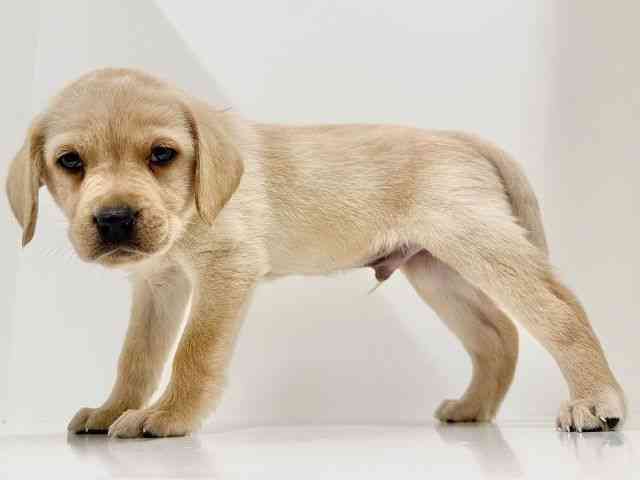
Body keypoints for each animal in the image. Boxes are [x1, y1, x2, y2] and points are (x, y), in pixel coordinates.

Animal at [6, 68, 625, 437]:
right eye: (69, 161)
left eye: (163, 154)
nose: (114, 220)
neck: (186, 215)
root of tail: (458, 137)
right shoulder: (159, 286)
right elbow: (137, 357)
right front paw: (114, 409)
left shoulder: (226, 269)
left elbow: (193, 353)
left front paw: (167, 415)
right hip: (435, 270)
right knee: (498, 336)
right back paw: (474, 409)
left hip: (479, 245)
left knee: (561, 314)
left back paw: (596, 401)